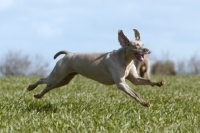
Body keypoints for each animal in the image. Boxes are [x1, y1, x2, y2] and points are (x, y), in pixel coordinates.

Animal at [27, 29, 164, 107]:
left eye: (143, 44)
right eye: (136, 45)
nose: (147, 50)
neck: (126, 59)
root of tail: (69, 53)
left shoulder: (135, 79)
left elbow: (147, 80)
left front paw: (159, 83)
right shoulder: (121, 83)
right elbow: (134, 93)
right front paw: (144, 103)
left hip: (63, 80)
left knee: (48, 87)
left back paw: (38, 96)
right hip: (57, 76)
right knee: (42, 80)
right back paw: (31, 87)